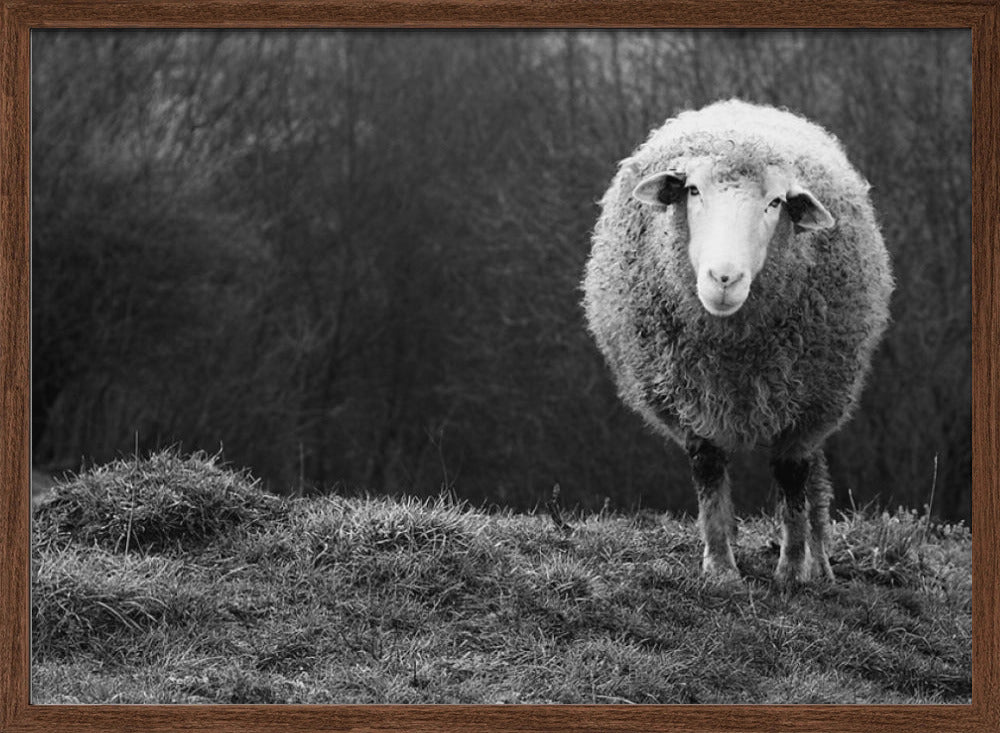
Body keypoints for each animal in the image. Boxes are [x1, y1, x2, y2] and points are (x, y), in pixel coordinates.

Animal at [583, 99, 893, 584]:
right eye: (692, 190)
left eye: (775, 202)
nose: (723, 278)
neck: (733, 352)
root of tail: (740, 107)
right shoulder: (689, 397)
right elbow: (709, 470)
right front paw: (720, 567)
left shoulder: (807, 406)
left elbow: (792, 478)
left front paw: (792, 570)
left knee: (814, 480)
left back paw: (820, 563)